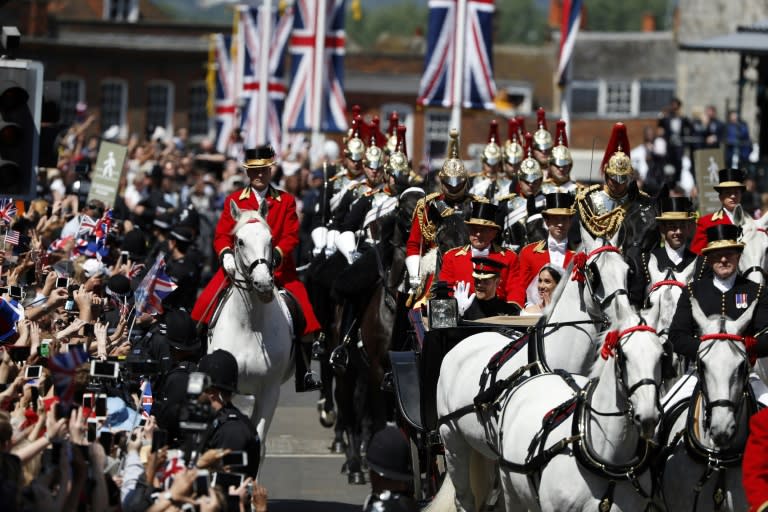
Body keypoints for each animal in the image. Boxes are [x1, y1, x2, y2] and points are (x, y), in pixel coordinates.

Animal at [207, 200, 294, 460]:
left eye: (271, 239)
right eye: (240, 241)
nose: (263, 284)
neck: (250, 326)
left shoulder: (269, 390)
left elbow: (258, 442)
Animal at [426, 229, 632, 512]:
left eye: (627, 270)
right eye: (594, 272)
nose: (626, 316)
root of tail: (461, 345)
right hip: (453, 439)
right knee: (464, 498)